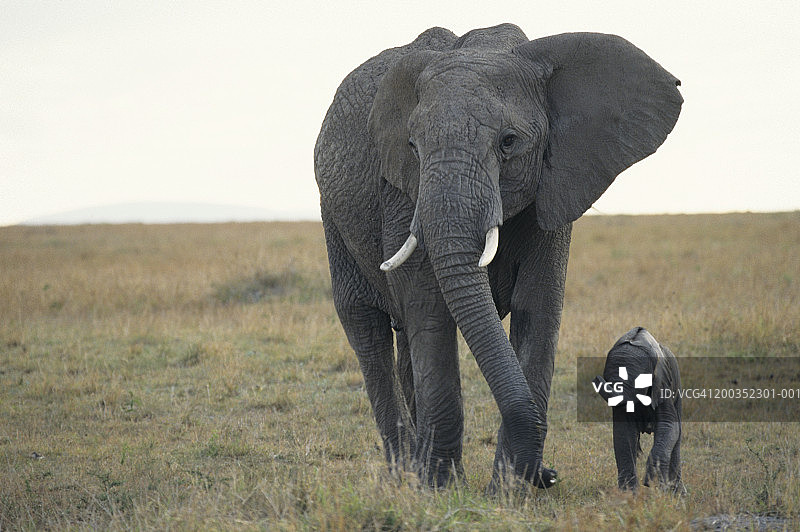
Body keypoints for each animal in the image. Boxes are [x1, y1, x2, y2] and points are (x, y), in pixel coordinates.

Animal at [593, 327, 683, 492]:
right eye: (608, 378)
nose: (597, 379)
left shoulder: (663, 386)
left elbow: (668, 425)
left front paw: (652, 481)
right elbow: (624, 431)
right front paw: (628, 494)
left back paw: (677, 493)